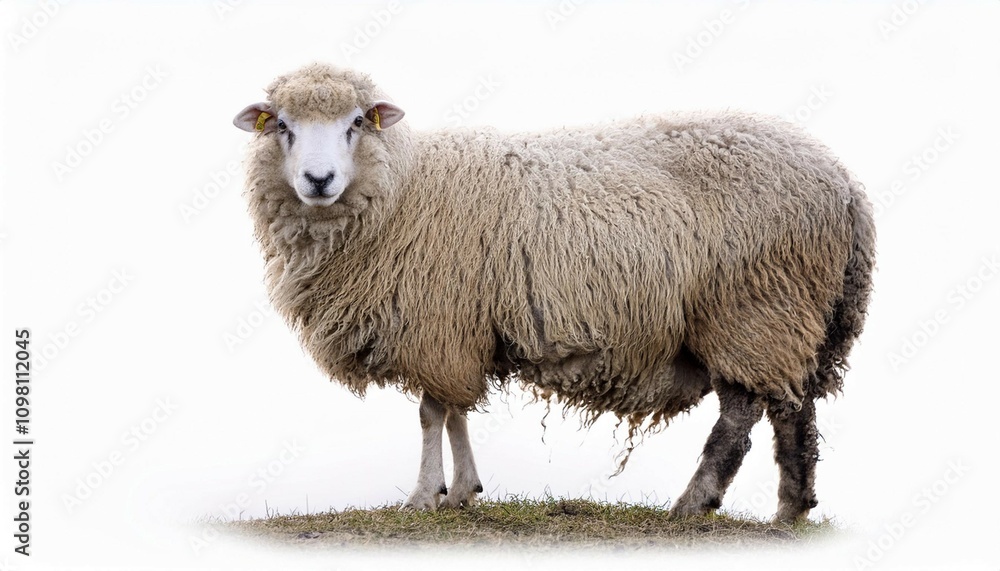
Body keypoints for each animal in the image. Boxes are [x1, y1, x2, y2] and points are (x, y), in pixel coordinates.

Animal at [232, 63, 875, 522]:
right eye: (283, 126)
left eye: (356, 123)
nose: (319, 180)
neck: (404, 187)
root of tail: (844, 183)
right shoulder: (462, 323)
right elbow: (456, 409)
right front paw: (463, 490)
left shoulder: (438, 321)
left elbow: (431, 411)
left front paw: (424, 495)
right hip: (788, 316)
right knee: (791, 411)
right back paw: (790, 509)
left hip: (755, 307)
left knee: (747, 419)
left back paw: (700, 504)